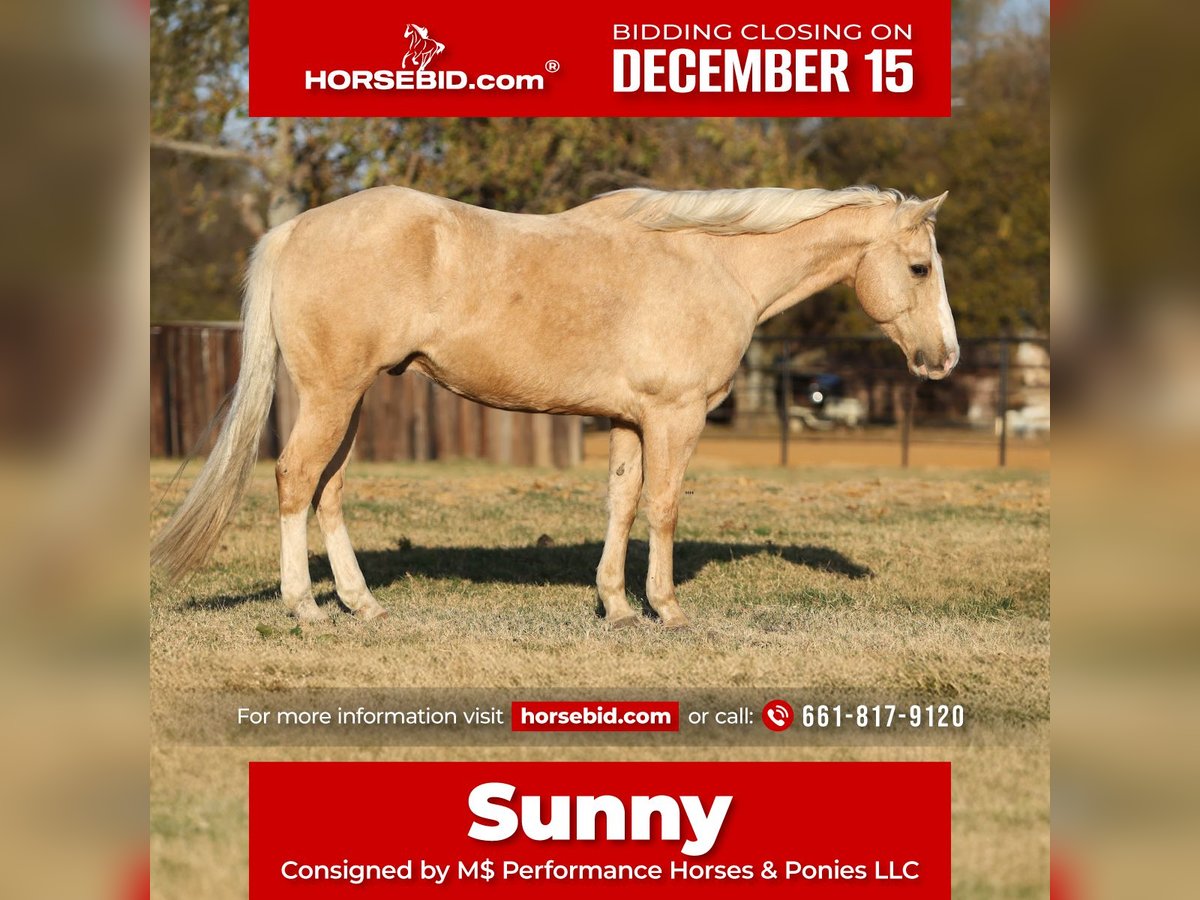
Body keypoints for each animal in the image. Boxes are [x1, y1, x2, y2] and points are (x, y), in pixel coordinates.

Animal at [151, 185, 958, 628]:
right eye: (919, 268)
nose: (943, 358)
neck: (713, 261)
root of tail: (297, 229)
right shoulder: (675, 416)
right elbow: (664, 507)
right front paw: (666, 608)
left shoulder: (632, 420)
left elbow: (622, 505)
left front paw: (618, 606)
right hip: (332, 394)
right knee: (294, 480)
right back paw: (305, 606)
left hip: (349, 401)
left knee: (328, 491)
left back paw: (361, 603)